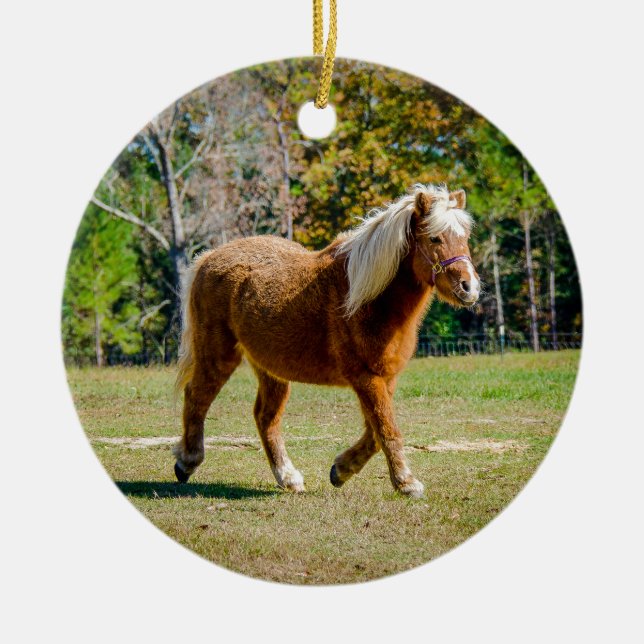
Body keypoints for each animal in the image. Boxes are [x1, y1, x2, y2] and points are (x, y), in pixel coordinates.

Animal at [173, 184, 480, 498]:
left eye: (464, 237)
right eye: (435, 238)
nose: (469, 287)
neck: (365, 298)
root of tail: (208, 259)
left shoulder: (385, 378)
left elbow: (374, 432)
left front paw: (342, 469)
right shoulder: (366, 378)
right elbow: (386, 429)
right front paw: (406, 483)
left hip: (270, 369)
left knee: (265, 416)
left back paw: (288, 477)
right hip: (218, 355)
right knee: (197, 397)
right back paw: (187, 462)